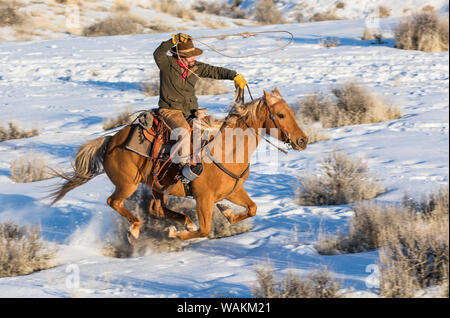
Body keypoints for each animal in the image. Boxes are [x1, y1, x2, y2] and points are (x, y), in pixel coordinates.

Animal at [50, 88, 310, 242]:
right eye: (281, 115)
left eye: (290, 111)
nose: (303, 140)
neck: (225, 151)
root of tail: (110, 141)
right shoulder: (203, 198)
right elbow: (204, 230)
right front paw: (175, 233)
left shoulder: (233, 190)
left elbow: (252, 208)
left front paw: (226, 212)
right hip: (127, 184)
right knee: (113, 202)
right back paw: (136, 229)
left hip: (157, 185)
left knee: (156, 208)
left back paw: (183, 221)